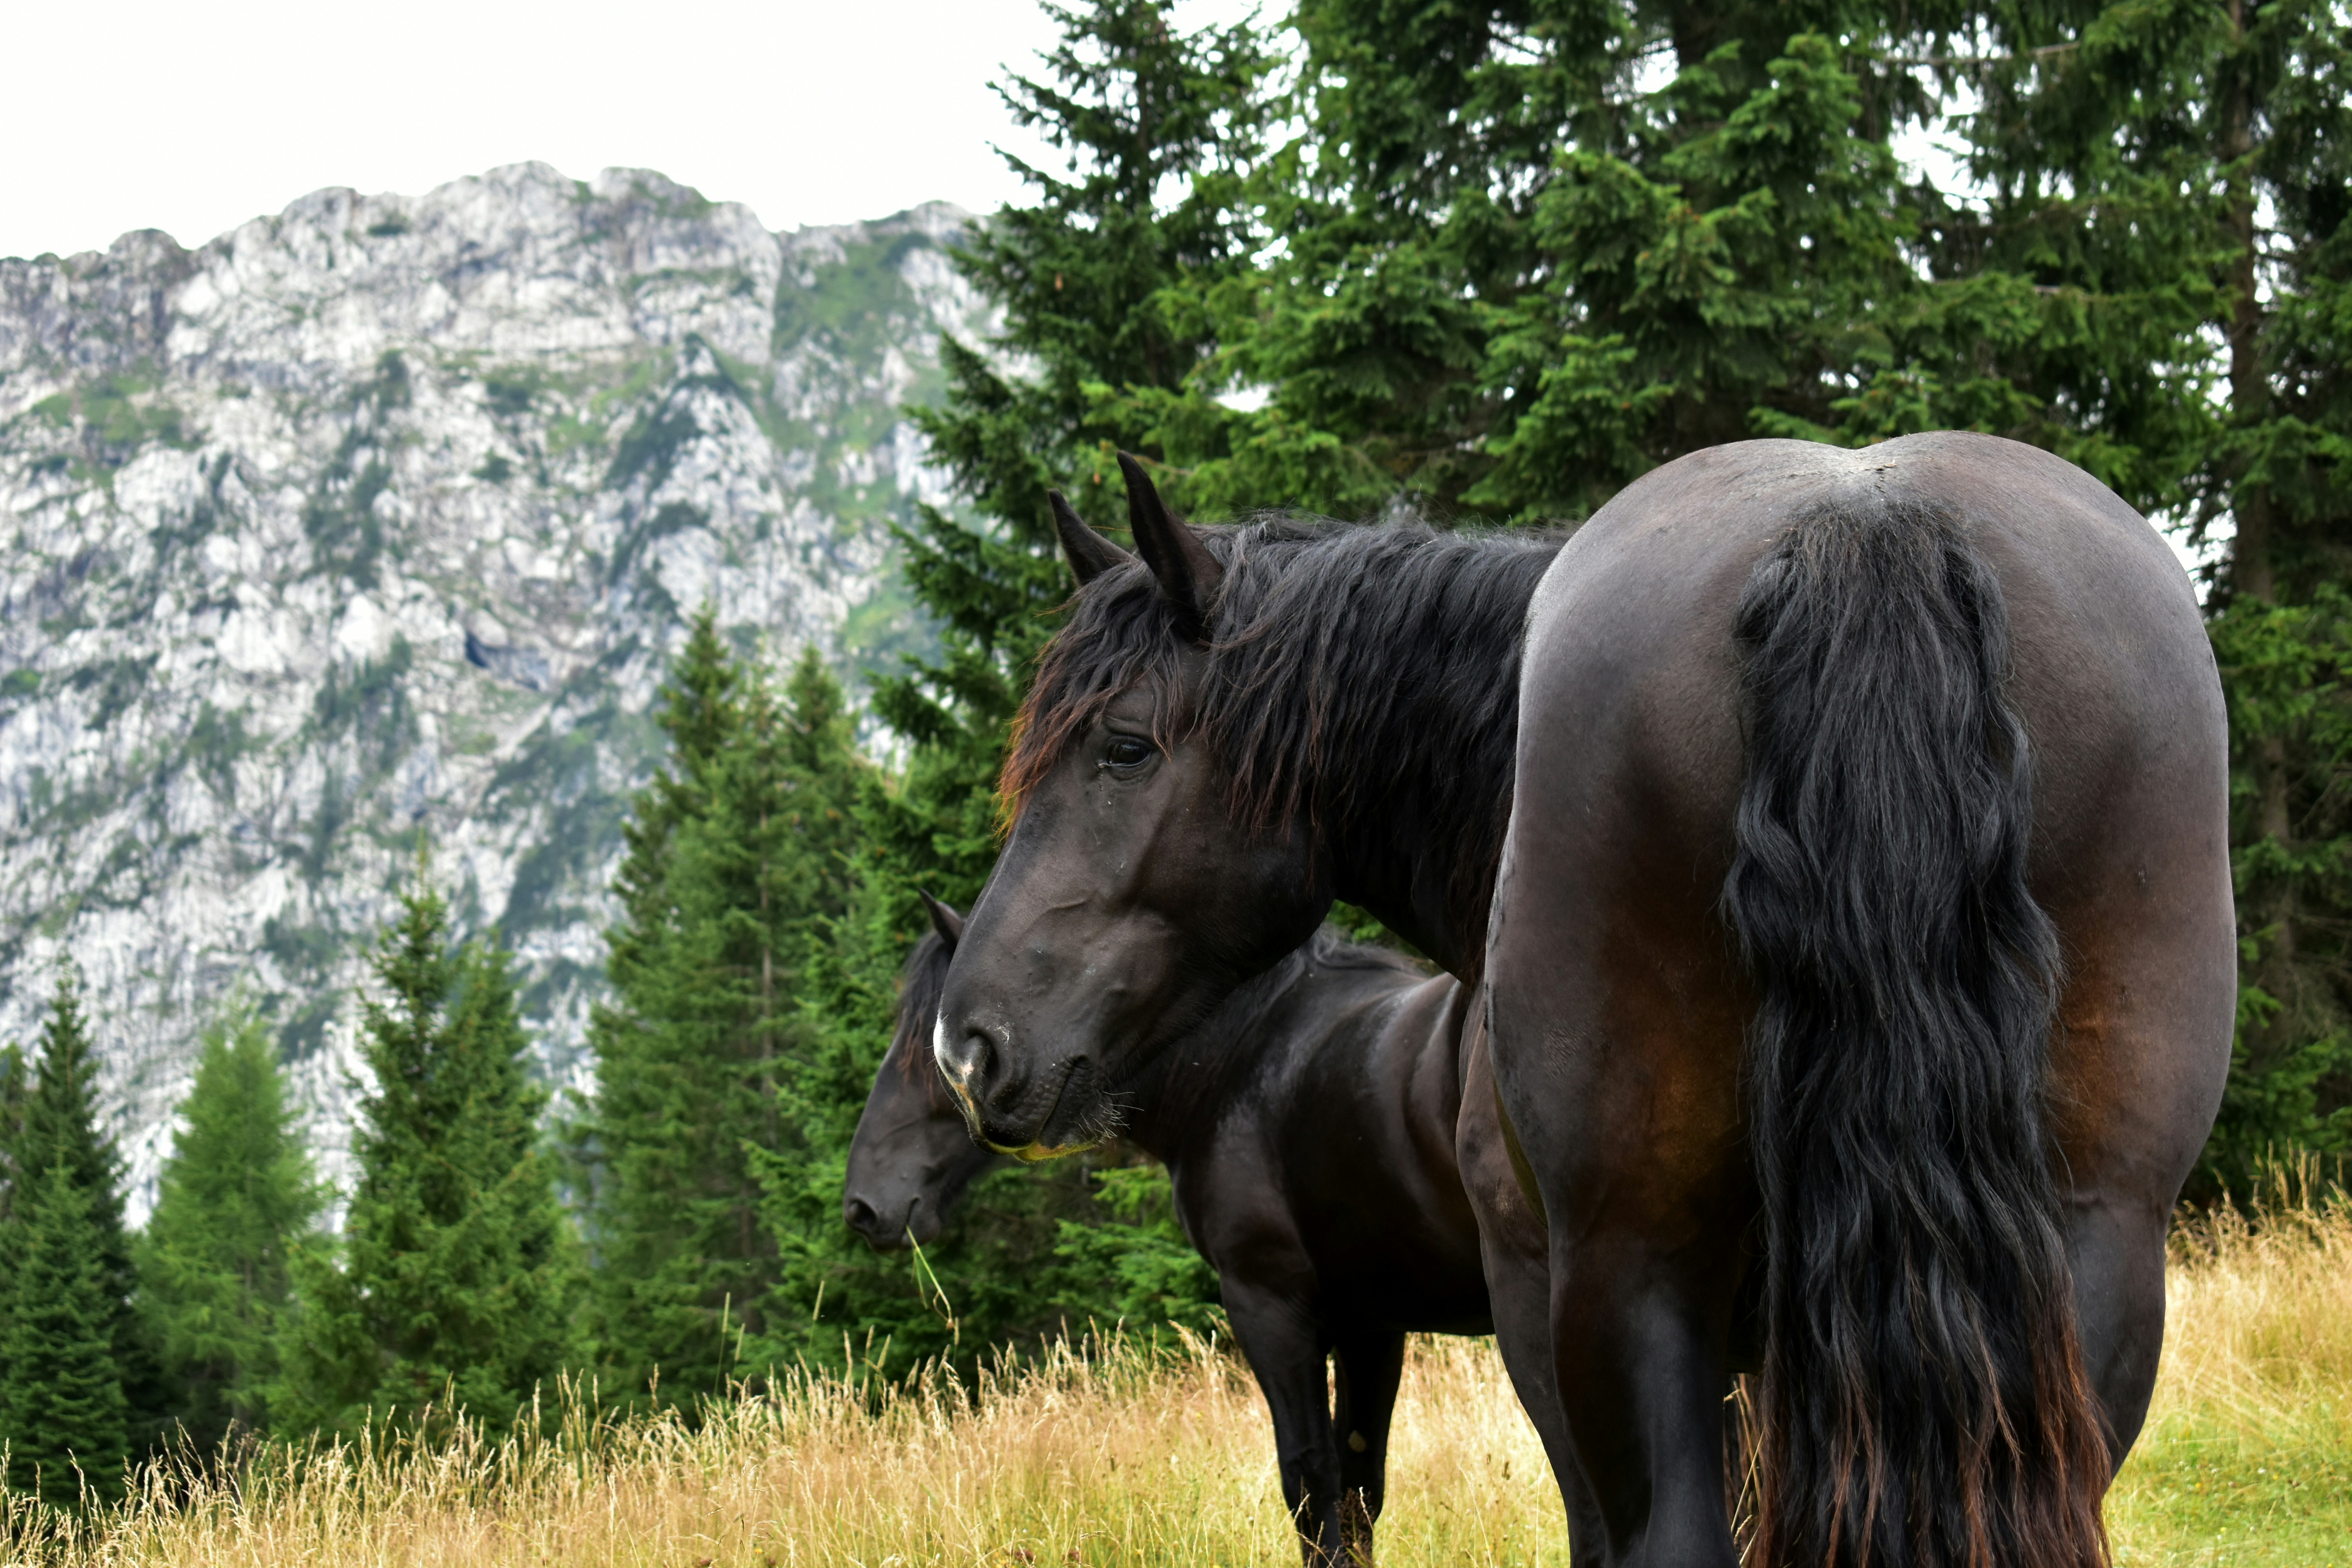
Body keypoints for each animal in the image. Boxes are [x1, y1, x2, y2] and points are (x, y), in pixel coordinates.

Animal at [845, 898, 1565, 1566]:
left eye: (928, 1053)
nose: (863, 1206)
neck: (1239, 1061)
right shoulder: (1373, 1326)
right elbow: (1360, 1489)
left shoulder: (1268, 1308)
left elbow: (1311, 1484)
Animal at [930, 434, 2235, 1568]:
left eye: (1124, 746)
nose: (966, 1043)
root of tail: (1859, 527)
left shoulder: (1535, 1297)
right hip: (2085, 1260)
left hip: (1625, 1274)